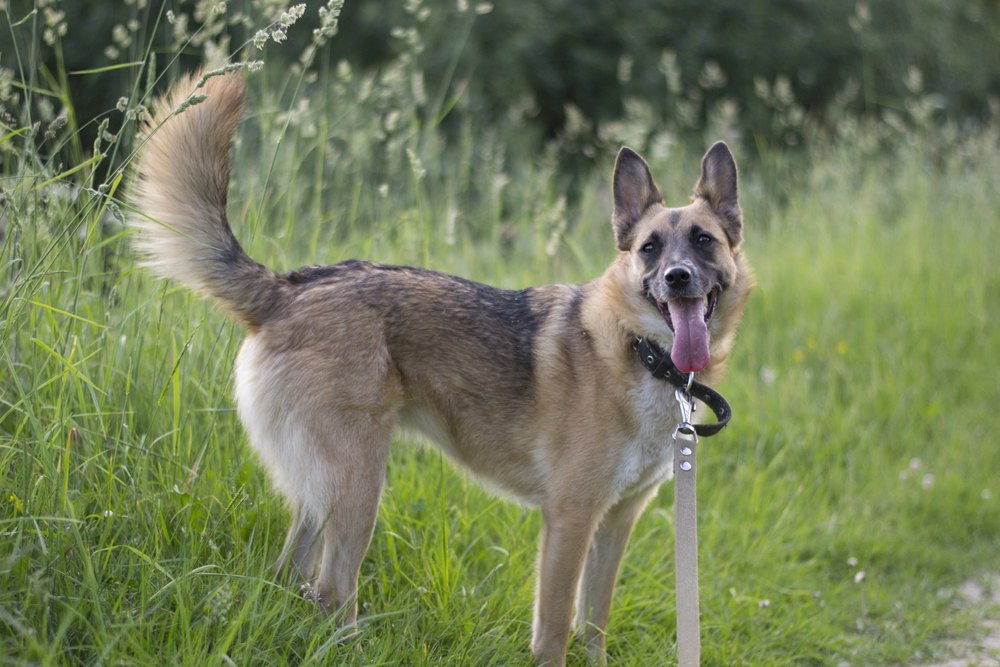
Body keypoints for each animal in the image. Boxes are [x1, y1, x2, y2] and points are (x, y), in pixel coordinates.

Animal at [129, 70, 752, 664]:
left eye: (703, 241)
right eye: (650, 248)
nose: (677, 278)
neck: (638, 353)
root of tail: (287, 289)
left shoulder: (616, 521)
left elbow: (592, 626)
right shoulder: (570, 519)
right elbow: (554, 632)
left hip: (321, 494)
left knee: (293, 578)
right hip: (358, 488)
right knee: (333, 591)